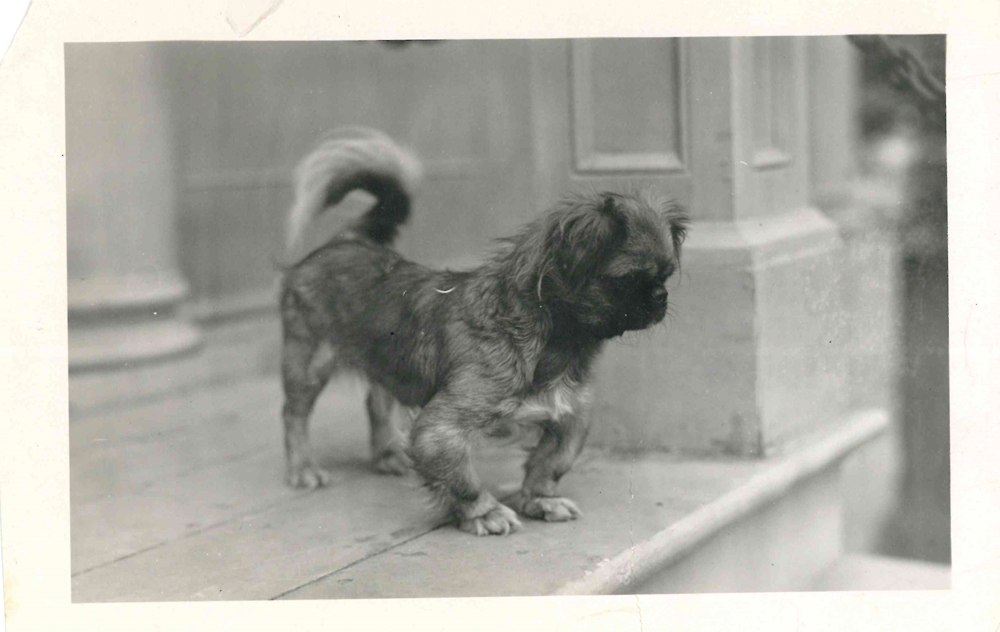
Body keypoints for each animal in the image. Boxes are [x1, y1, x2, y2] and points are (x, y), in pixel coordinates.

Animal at [282, 126, 688, 536]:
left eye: (666, 275)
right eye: (630, 279)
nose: (661, 296)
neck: (556, 344)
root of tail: (346, 241)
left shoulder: (572, 418)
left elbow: (550, 464)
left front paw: (539, 500)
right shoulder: (438, 431)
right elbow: (462, 479)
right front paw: (484, 513)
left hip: (386, 359)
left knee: (376, 402)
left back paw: (387, 455)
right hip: (310, 363)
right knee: (294, 415)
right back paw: (303, 469)